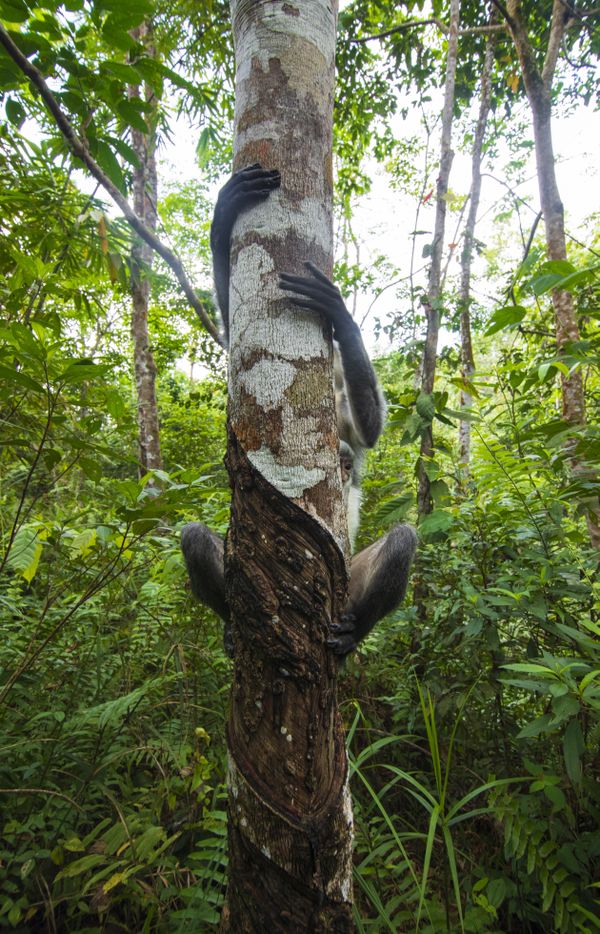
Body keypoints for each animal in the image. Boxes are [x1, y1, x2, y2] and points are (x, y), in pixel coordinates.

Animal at [183, 163, 418, 660]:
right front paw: (222, 219)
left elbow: (369, 431)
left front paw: (342, 317)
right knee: (194, 536)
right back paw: (232, 625)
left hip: (346, 586)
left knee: (402, 540)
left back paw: (355, 631)